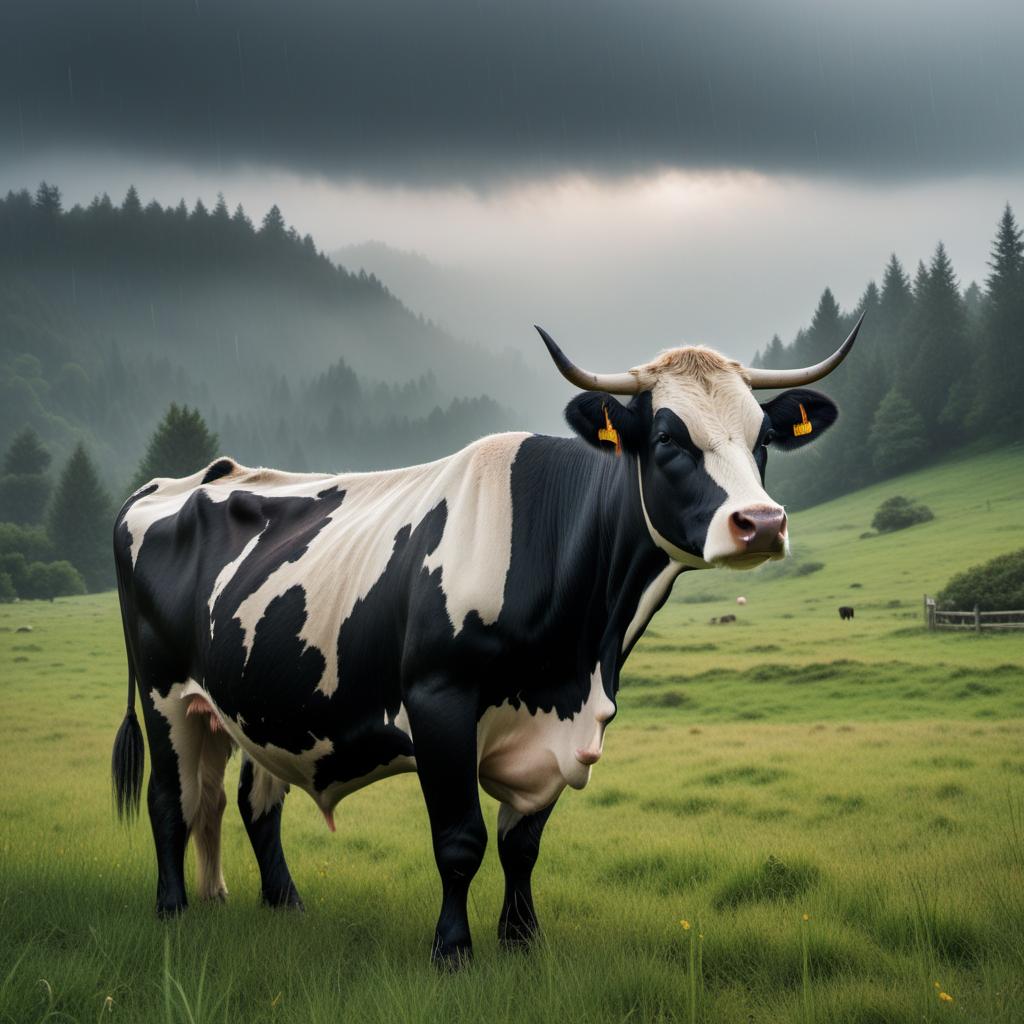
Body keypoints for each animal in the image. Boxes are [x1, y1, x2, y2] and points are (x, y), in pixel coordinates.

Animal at [110, 311, 864, 958]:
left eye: (762, 440)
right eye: (668, 440)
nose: (761, 524)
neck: (576, 652)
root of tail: (188, 479)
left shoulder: (556, 726)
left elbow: (521, 845)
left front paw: (522, 941)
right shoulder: (438, 700)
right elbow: (460, 840)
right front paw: (453, 949)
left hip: (256, 704)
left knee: (245, 801)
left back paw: (280, 905)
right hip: (164, 693)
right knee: (172, 800)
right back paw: (174, 909)